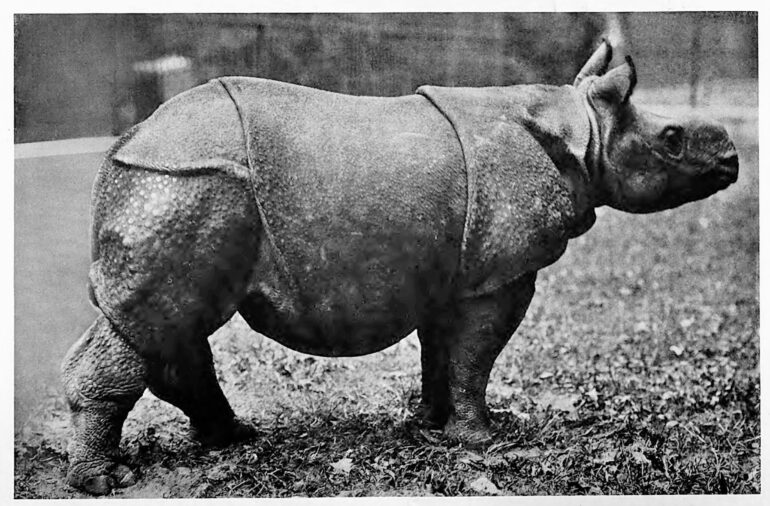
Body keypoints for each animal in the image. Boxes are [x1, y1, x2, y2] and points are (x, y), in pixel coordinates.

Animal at [61, 41, 739, 494]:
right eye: (672, 139)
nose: (732, 157)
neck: (586, 131)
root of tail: (128, 139)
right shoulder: (499, 272)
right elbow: (476, 353)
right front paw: (485, 440)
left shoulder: (458, 269)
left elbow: (445, 352)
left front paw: (430, 428)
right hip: (186, 182)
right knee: (162, 319)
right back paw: (108, 479)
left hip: (182, 183)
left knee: (174, 323)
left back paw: (232, 438)